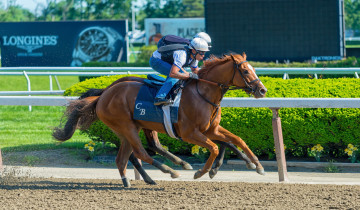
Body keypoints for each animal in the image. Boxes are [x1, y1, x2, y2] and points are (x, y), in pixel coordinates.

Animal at [53, 53, 268, 186]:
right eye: (246, 71)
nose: (262, 90)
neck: (203, 92)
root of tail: (104, 94)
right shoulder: (190, 133)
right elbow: (215, 147)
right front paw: (202, 172)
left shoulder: (211, 129)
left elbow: (236, 140)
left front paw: (257, 165)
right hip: (126, 126)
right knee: (141, 152)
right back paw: (171, 170)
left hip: (131, 128)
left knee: (127, 156)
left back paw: (134, 179)